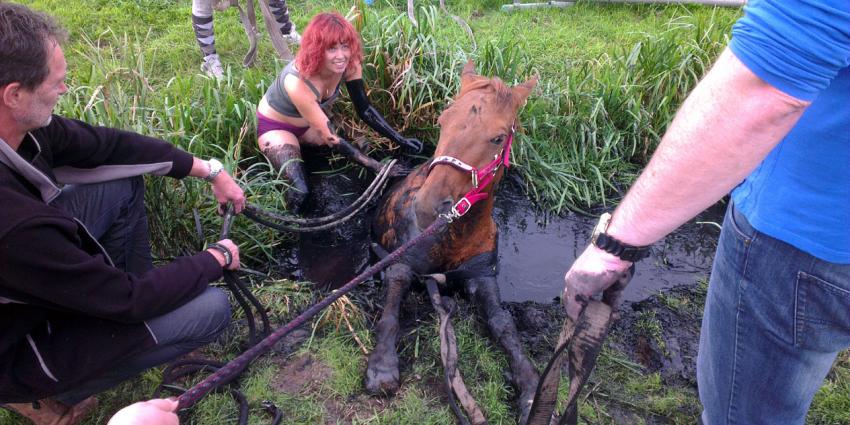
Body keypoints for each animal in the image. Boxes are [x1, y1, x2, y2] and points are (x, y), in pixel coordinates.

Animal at [364, 59, 536, 420]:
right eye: (442, 121)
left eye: (498, 137)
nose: (428, 206)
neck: (453, 235)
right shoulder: (400, 263)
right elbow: (391, 308)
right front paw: (382, 367)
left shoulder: (482, 276)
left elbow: (504, 324)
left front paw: (530, 387)